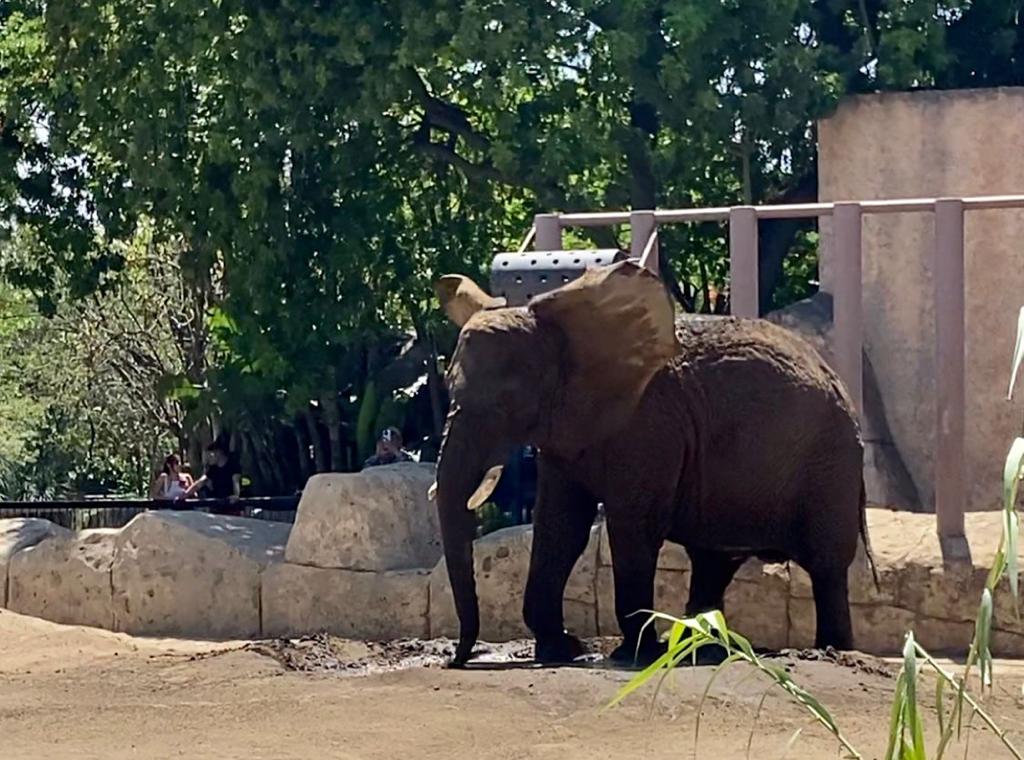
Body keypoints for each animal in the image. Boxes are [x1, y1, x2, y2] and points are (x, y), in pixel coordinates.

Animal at [430, 260, 872, 667]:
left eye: (505, 402)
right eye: (447, 386)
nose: (456, 660)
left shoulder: (650, 426)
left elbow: (631, 526)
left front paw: (633, 654)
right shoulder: (568, 430)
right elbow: (560, 525)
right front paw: (563, 650)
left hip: (831, 462)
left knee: (827, 567)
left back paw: (831, 650)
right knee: (714, 562)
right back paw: (702, 649)